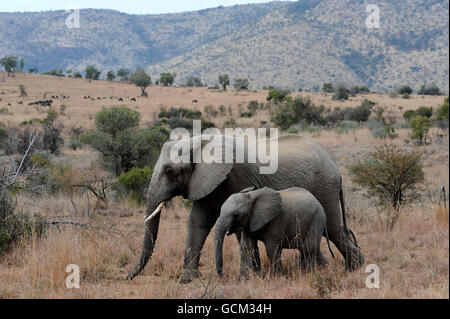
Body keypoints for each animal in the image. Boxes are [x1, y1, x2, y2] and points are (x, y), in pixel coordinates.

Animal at [125, 134, 362, 284]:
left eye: (169, 171)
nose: (127, 276)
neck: (199, 142)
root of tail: (336, 167)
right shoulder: (203, 182)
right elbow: (197, 224)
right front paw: (186, 280)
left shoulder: (238, 177)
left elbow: (241, 231)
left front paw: (253, 276)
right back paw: (344, 268)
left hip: (325, 189)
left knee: (334, 229)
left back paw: (355, 268)